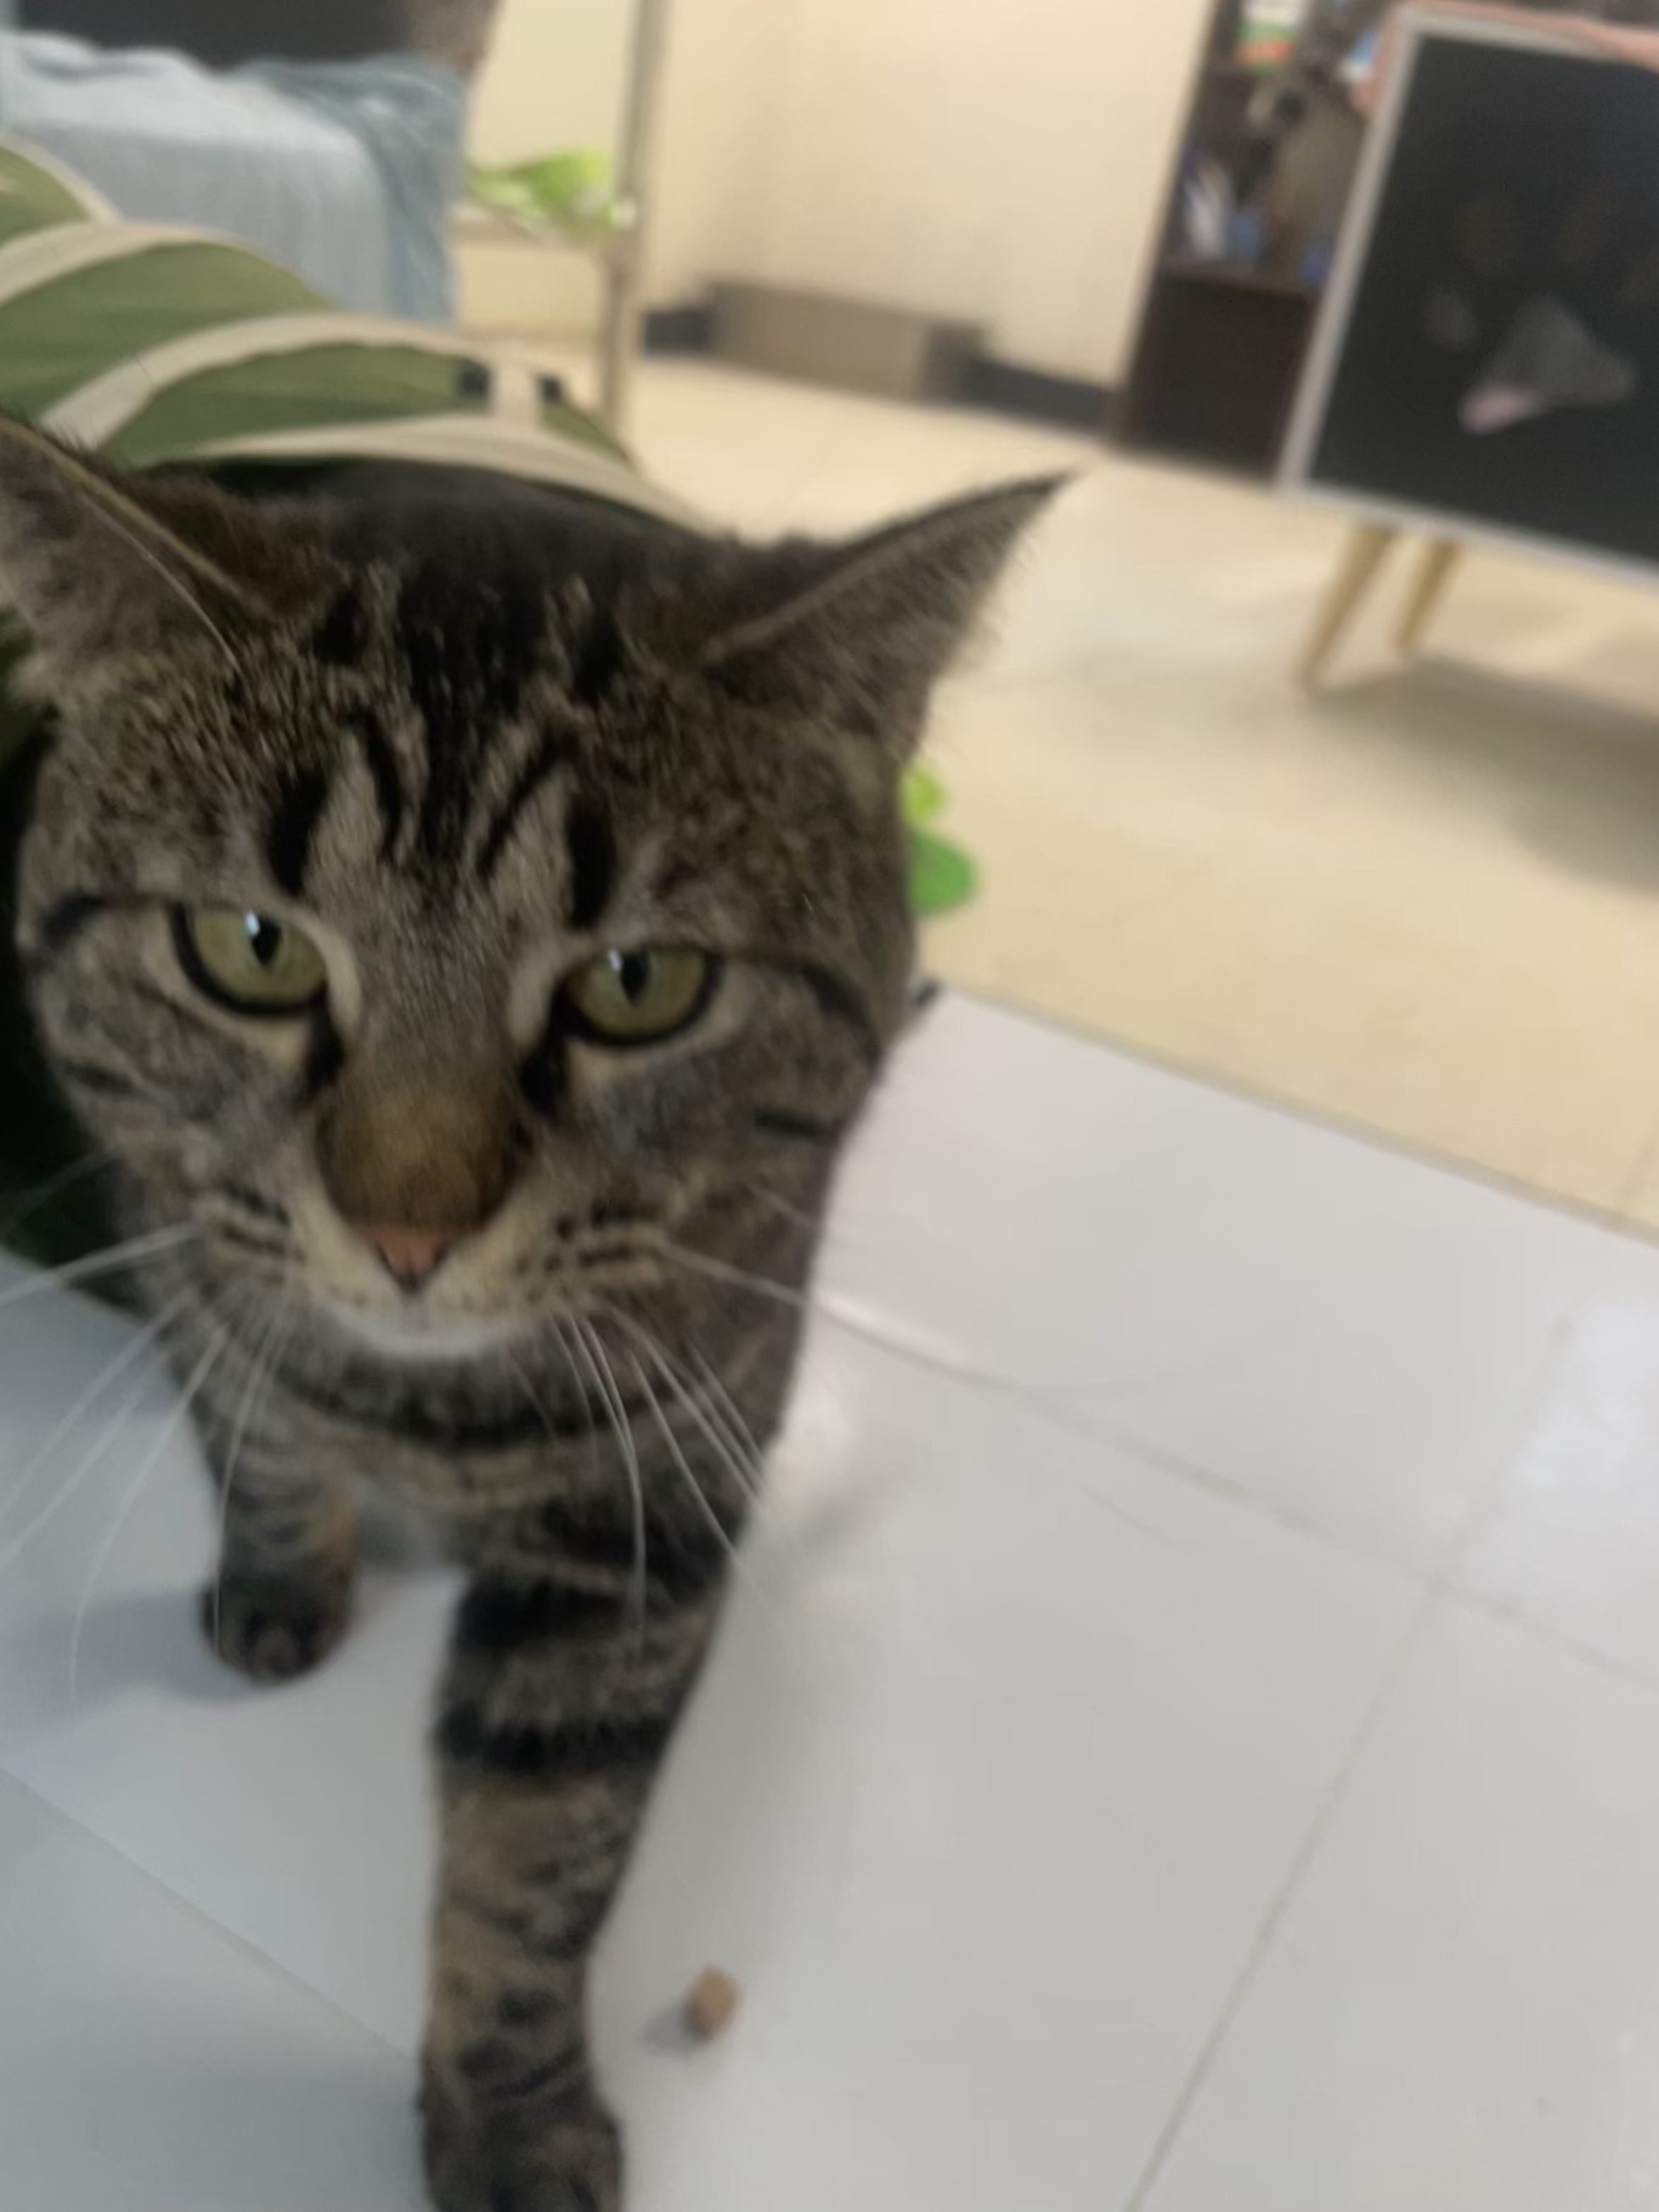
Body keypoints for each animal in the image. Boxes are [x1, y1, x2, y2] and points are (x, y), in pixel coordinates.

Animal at [0, 417, 1051, 2212]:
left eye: (640, 984)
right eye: (251, 949)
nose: (408, 1231)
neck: (425, 1416)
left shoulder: (647, 1510)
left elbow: (538, 1852)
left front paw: (509, 2115)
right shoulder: (182, 1248)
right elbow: (254, 1432)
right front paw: (279, 1584)